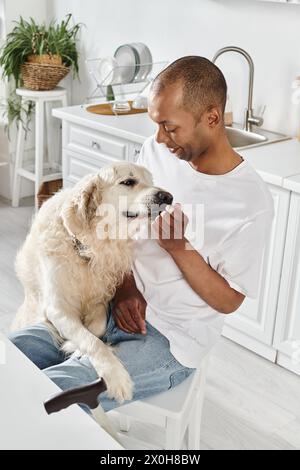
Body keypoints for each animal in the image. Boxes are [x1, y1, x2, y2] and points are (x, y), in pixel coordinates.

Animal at [11, 162, 173, 404]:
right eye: (128, 182)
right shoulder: (58, 309)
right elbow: (93, 342)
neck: (88, 246)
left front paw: (75, 347)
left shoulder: (100, 301)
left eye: (151, 181)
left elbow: (96, 329)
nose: (169, 197)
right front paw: (116, 377)